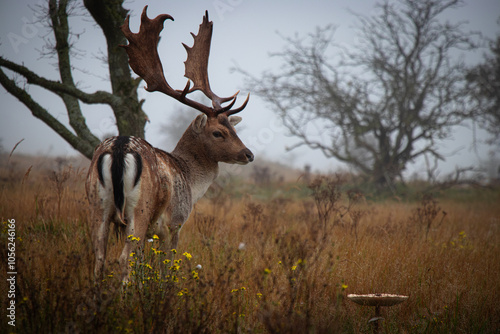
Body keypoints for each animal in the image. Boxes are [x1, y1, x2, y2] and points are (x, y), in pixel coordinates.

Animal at [85, 6, 254, 280]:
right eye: (218, 133)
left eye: (233, 127)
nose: (248, 154)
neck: (191, 181)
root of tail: (119, 149)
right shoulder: (174, 223)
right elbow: (166, 268)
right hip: (139, 210)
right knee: (124, 258)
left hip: (97, 204)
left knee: (99, 257)